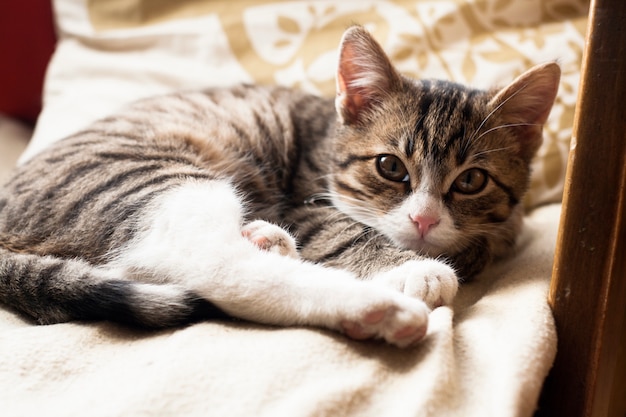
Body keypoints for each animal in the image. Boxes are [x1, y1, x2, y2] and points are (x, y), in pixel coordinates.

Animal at [0, 26, 560, 344]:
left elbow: (494, 236)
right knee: (208, 263)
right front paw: (415, 268)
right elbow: (347, 230)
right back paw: (376, 309)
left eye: (471, 181)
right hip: (140, 176)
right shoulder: (306, 201)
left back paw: (267, 240)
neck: (328, 139)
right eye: (390, 167)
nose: (423, 220)